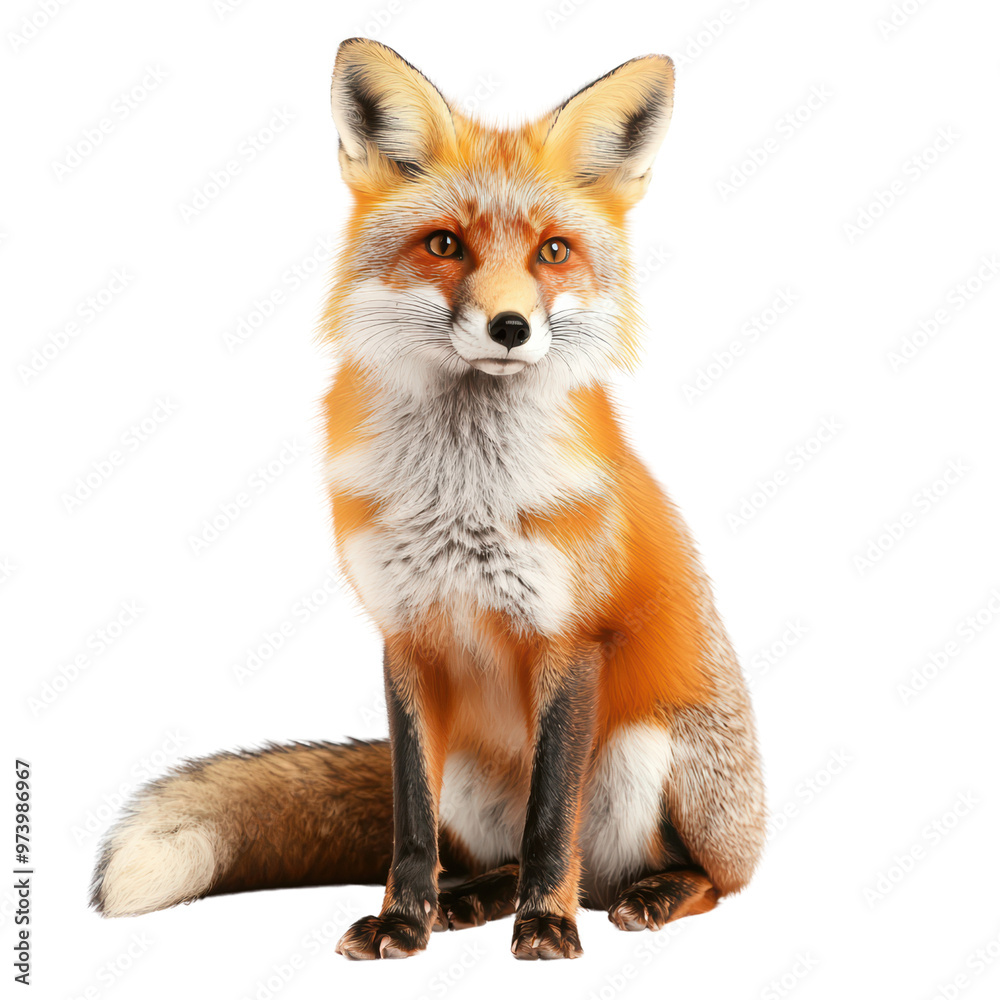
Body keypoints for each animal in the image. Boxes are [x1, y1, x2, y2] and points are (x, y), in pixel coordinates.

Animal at [90, 39, 766, 961]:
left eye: (554, 252)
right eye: (444, 243)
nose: (512, 328)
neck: (462, 495)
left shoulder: (569, 639)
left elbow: (552, 821)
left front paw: (544, 926)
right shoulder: (406, 635)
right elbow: (412, 820)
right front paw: (403, 921)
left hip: (648, 756)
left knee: (698, 878)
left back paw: (637, 897)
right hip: (476, 783)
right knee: (489, 855)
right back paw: (469, 900)